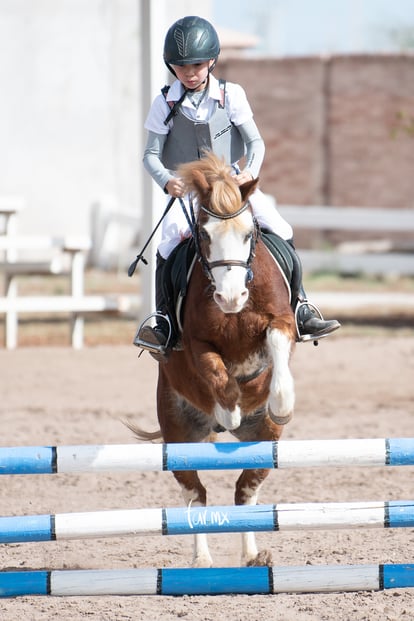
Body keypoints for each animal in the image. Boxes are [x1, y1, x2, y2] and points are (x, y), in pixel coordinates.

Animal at [136, 154, 294, 568]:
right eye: (204, 237)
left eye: (249, 234)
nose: (230, 297)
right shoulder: (197, 343)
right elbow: (218, 374)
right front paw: (229, 411)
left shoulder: (282, 322)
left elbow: (276, 344)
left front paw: (281, 402)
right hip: (178, 432)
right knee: (196, 494)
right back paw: (202, 561)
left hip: (265, 442)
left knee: (245, 490)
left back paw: (254, 556)